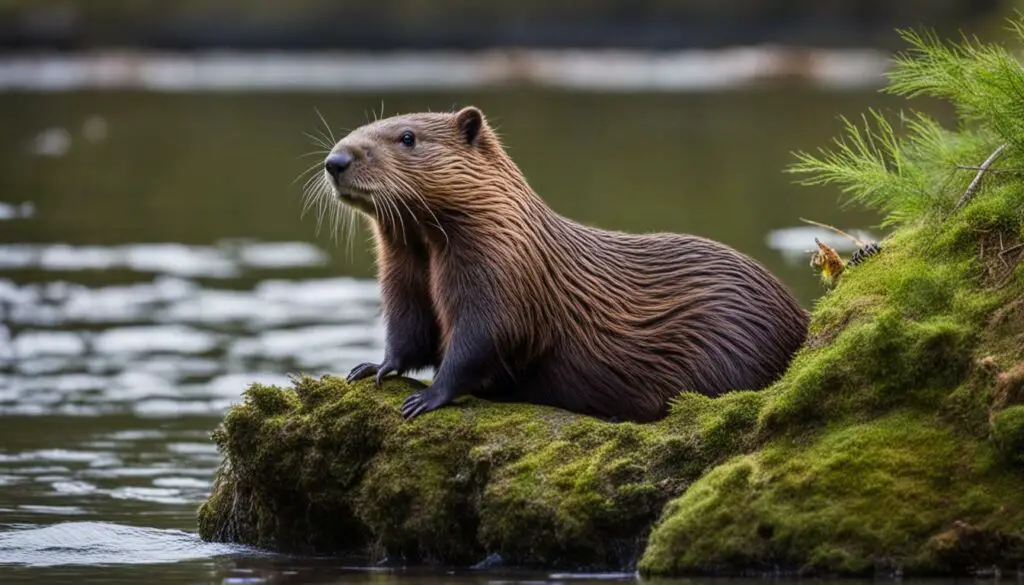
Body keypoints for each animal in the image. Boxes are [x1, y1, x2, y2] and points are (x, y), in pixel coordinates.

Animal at [315, 107, 811, 422]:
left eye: (407, 137)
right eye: (361, 126)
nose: (335, 160)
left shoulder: (501, 285)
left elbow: (475, 348)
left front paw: (427, 398)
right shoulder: (405, 283)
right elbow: (407, 337)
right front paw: (371, 368)